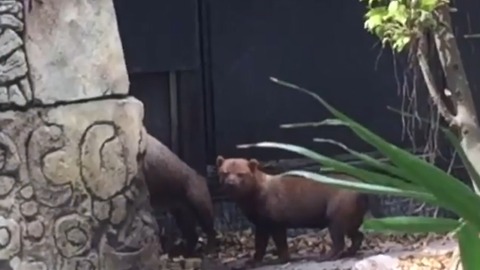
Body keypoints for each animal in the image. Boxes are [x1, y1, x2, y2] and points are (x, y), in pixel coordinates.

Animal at [217, 155, 382, 264]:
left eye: (241, 173)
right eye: (224, 172)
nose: (230, 183)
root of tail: (364, 190)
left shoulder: (276, 222)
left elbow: (280, 243)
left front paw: (281, 259)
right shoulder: (261, 224)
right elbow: (260, 244)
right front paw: (254, 261)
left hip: (336, 217)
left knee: (339, 241)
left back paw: (325, 256)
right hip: (350, 219)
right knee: (357, 235)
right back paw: (349, 252)